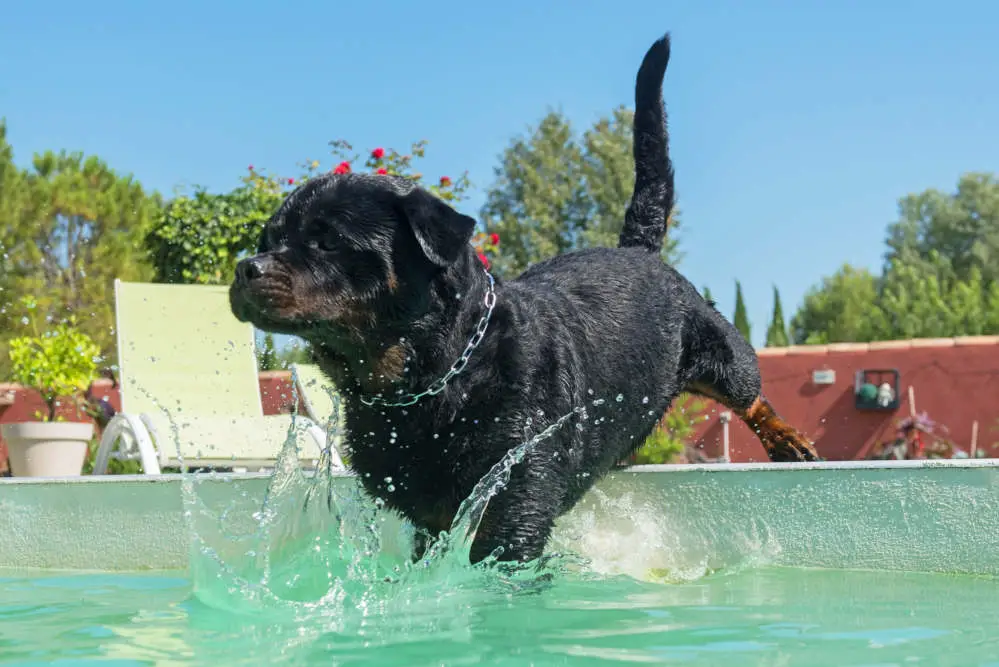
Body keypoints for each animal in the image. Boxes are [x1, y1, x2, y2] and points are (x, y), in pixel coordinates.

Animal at [232, 34, 820, 568]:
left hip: (711, 340)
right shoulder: (422, 512)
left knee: (748, 390)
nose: (245, 267)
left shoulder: (517, 488)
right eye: (267, 240)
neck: (437, 376)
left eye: (328, 241)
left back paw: (788, 441)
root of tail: (636, 250)